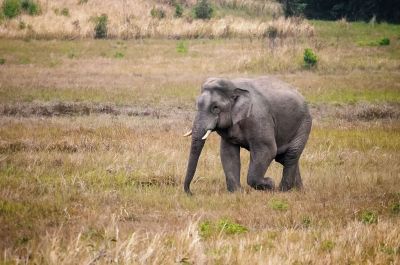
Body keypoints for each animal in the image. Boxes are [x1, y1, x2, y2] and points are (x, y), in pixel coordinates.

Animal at [184, 76, 312, 194]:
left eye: (215, 108)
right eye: (197, 105)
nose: (191, 193)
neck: (234, 86)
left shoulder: (258, 118)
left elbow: (267, 149)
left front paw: (270, 184)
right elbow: (228, 152)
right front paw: (237, 193)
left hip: (304, 124)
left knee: (291, 155)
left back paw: (283, 191)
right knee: (284, 158)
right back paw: (298, 191)